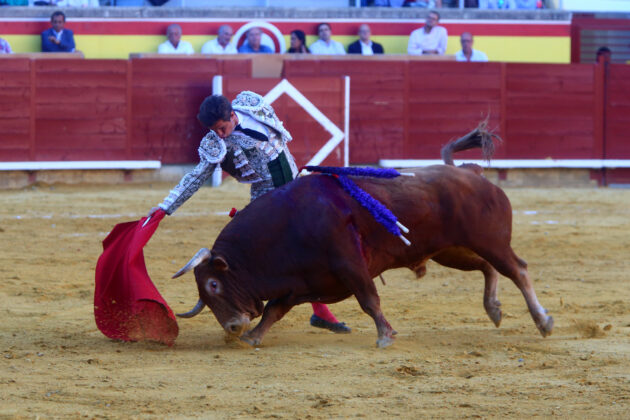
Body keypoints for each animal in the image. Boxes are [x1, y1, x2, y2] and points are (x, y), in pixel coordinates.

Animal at [175, 128, 556, 348]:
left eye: (213, 285)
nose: (232, 327)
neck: (287, 227)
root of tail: (469, 173)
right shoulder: (302, 283)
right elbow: (273, 310)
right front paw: (254, 337)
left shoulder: (350, 265)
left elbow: (369, 299)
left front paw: (386, 336)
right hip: (451, 251)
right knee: (487, 269)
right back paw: (493, 309)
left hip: (490, 240)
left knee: (517, 269)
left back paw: (543, 321)